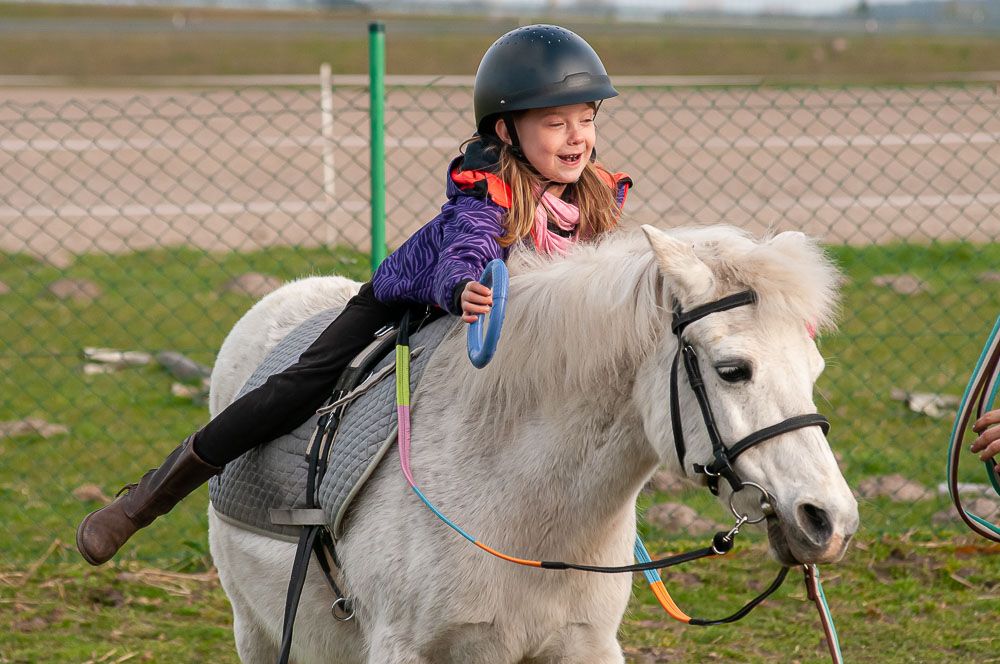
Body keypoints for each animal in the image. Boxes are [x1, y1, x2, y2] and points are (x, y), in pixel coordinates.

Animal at [209, 224, 860, 664]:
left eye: (816, 369)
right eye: (732, 370)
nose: (830, 521)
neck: (519, 504)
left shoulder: (583, 646)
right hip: (257, 629)